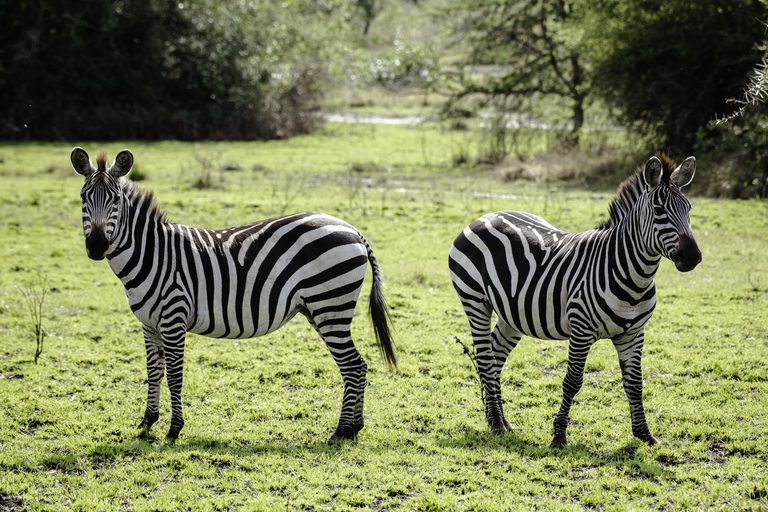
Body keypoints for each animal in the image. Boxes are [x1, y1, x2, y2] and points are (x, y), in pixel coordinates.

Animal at [71, 147, 396, 443]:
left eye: (115, 200)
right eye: (84, 198)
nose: (96, 246)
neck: (153, 253)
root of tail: (352, 229)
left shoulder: (173, 318)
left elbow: (174, 375)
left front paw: (174, 430)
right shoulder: (149, 324)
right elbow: (154, 372)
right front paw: (147, 422)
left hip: (331, 307)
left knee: (352, 366)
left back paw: (342, 431)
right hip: (319, 310)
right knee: (358, 365)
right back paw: (354, 428)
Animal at [449, 155, 701, 447]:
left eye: (689, 208)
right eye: (659, 210)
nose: (693, 257)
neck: (631, 274)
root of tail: (486, 215)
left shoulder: (634, 333)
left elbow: (635, 383)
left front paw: (644, 434)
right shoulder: (581, 329)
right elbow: (573, 381)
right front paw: (559, 436)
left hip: (512, 314)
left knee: (495, 355)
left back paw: (500, 420)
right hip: (475, 301)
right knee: (486, 358)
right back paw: (497, 423)